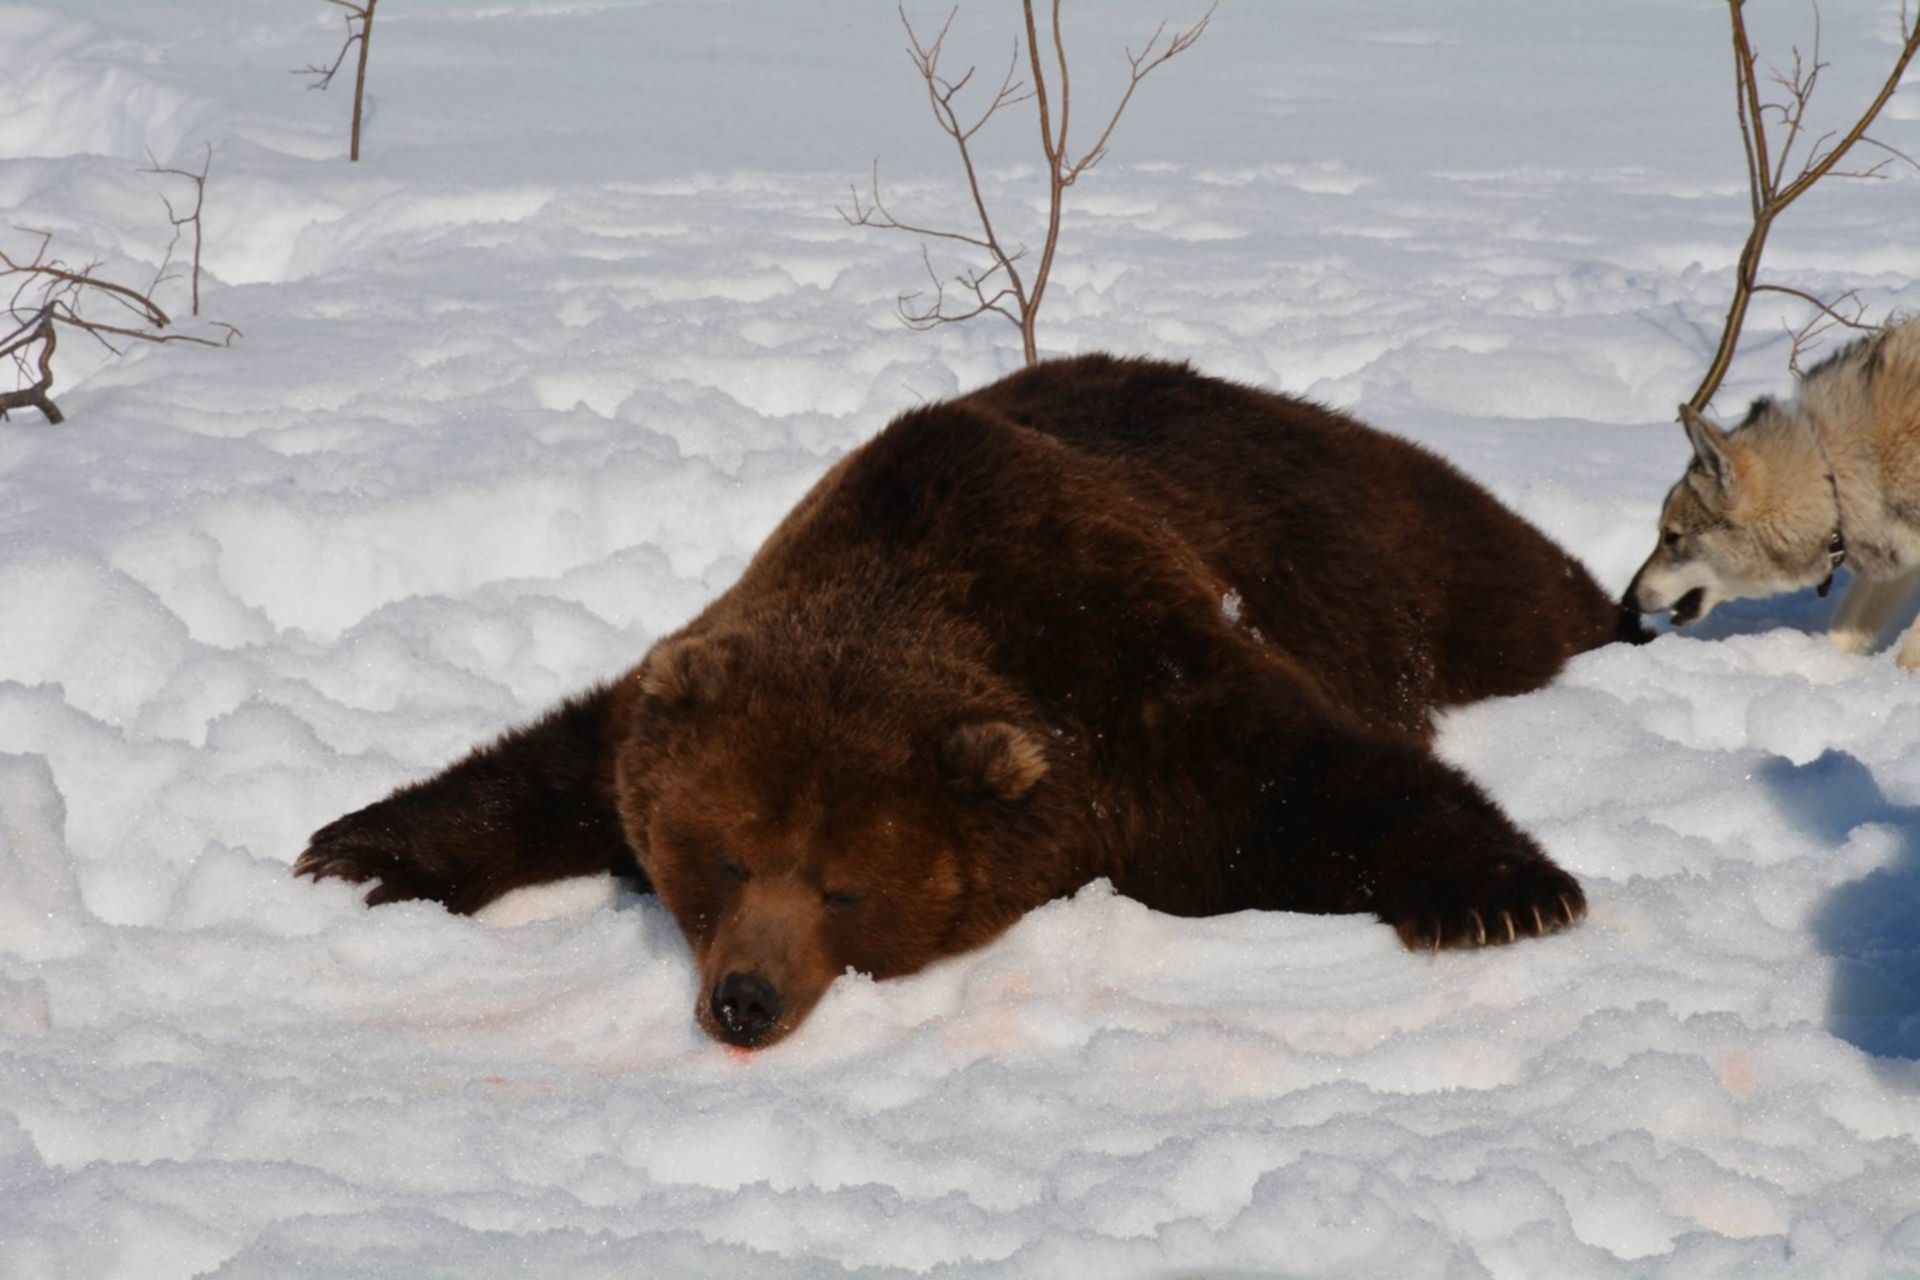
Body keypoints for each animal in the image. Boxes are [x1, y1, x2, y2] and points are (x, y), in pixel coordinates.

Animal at [291, 355, 1643, 1043]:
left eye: (846, 884)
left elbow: (1311, 778)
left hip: (1407, 555)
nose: (743, 999)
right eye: (724, 855)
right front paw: (356, 850)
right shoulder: (695, 673)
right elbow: (560, 761)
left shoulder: (1133, 683)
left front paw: (1507, 891)